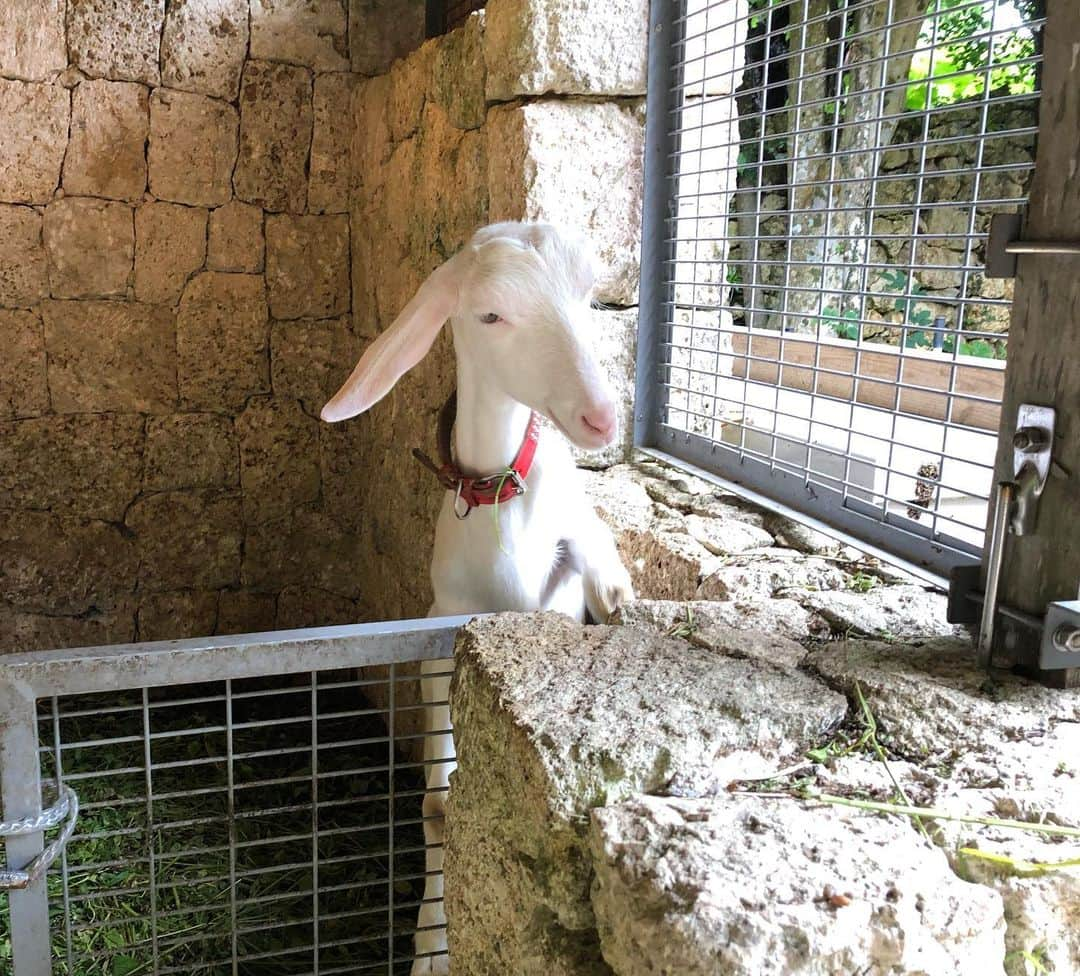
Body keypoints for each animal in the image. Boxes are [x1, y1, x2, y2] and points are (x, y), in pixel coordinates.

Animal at [317, 223, 630, 976]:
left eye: (588, 295)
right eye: (490, 315)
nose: (602, 418)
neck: (499, 497)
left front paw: (612, 583)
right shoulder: (438, 636)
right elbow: (438, 803)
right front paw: (430, 946)